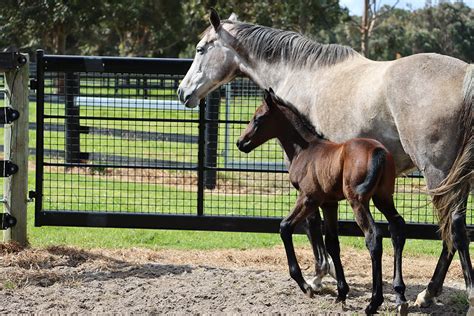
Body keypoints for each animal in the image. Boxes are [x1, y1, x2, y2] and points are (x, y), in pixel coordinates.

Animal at [237, 88, 408, 314]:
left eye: (258, 118)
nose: (241, 143)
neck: (305, 150)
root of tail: (378, 151)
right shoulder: (329, 203)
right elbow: (332, 243)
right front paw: (342, 293)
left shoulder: (309, 198)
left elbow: (285, 227)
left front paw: (305, 285)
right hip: (383, 198)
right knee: (397, 228)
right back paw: (400, 296)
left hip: (358, 201)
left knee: (373, 236)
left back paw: (373, 302)